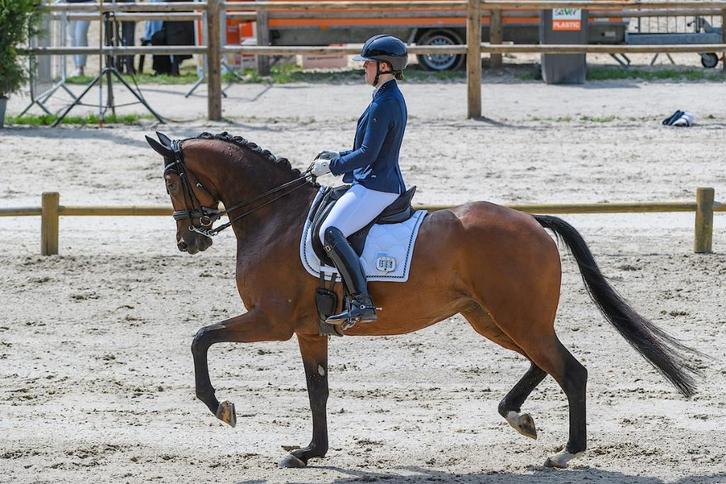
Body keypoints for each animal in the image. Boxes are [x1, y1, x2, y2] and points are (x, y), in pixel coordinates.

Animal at [146, 131, 700, 469]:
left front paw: (221, 408)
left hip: (516, 317)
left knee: (570, 370)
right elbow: (317, 391)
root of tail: (532, 220)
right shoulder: (307, 330)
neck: (274, 215)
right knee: (544, 363)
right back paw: (518, 417)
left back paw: (566, 453)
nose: (188, 242)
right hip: (491, 319)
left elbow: (200, 339)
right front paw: (309, 451)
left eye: (172, 180)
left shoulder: (271, 320)